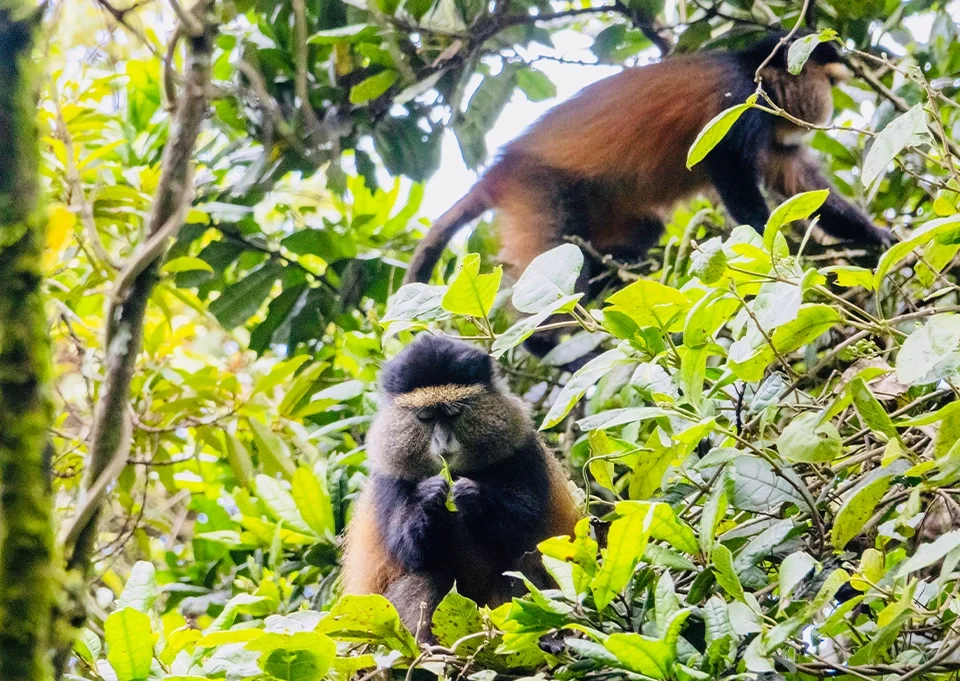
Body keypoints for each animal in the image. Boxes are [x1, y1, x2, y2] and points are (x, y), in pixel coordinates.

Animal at [341, 334, 581, 640]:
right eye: (426, 417)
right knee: (428, 573)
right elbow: (406, 549)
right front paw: (428, 499)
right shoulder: (388, 476)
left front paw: (472, 497)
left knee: (518, 564)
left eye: (453, 413)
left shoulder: (525, 450)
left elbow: (524, 529)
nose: (442, 441)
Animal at [403, 33, 891, 312]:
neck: (755, 75)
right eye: (827, 80)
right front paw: (771, 255)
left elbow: (806, 187)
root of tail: (500, 168)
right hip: (537, 189)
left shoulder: (773, 130)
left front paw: (881, 237)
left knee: (639, 229)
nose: (831, 97)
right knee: (554, 256)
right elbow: (729, 171)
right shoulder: (738, 102)